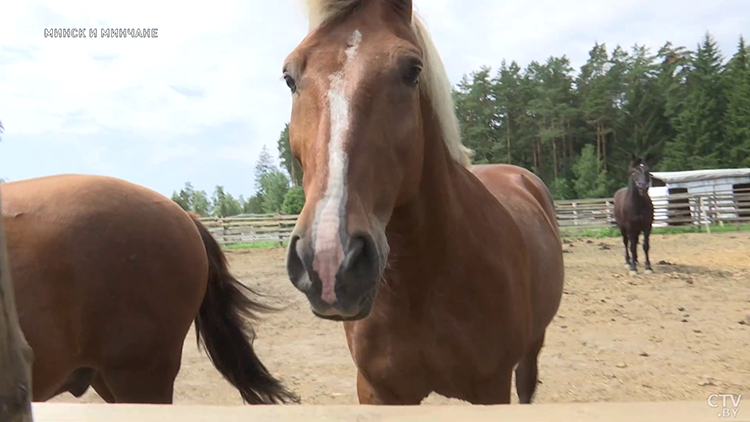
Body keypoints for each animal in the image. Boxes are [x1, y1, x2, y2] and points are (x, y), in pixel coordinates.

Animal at [282, 0, 564, 406]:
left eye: (412, 71)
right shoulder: (377, 390)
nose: (329, 258)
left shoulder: (491, 388)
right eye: (289, 77)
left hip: (532, 346)